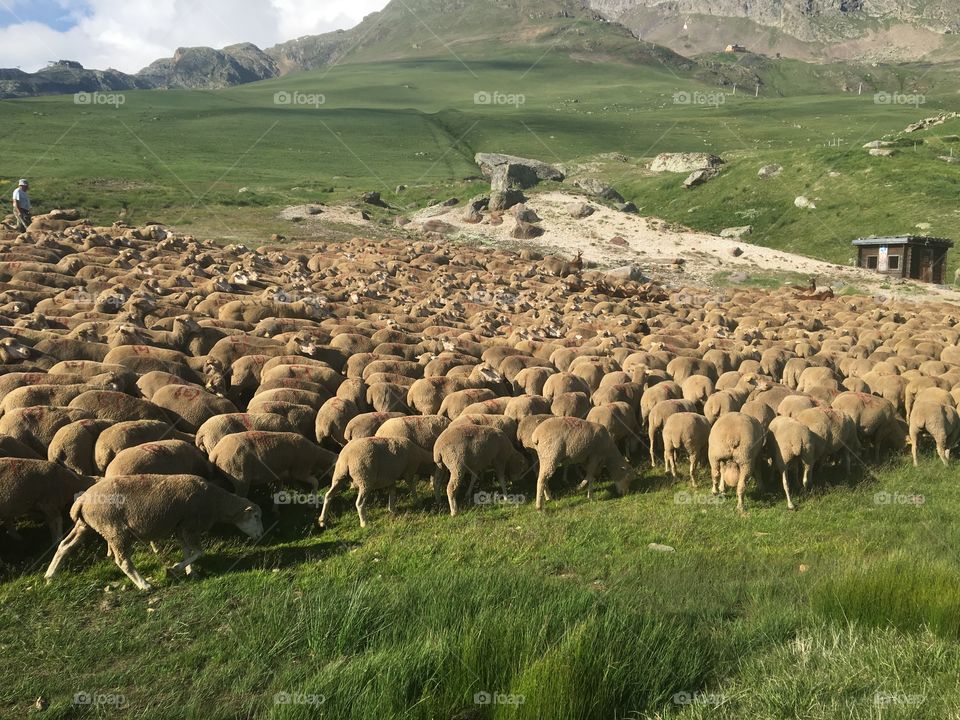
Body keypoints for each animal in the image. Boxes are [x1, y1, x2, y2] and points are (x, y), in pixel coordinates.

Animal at [44, 474, 263, 591]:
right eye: (256, 516)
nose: (261, 536)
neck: (216, 503)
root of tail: (81, 501)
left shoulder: (181, 527)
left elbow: (188, 551)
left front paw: (189, 571)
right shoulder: (190, 525)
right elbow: (199, 552)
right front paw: (175, 568)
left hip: (85, 526)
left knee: (64, 546)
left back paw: (50, 575)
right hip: (114, 529)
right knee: (123, 560)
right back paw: (143, 584)